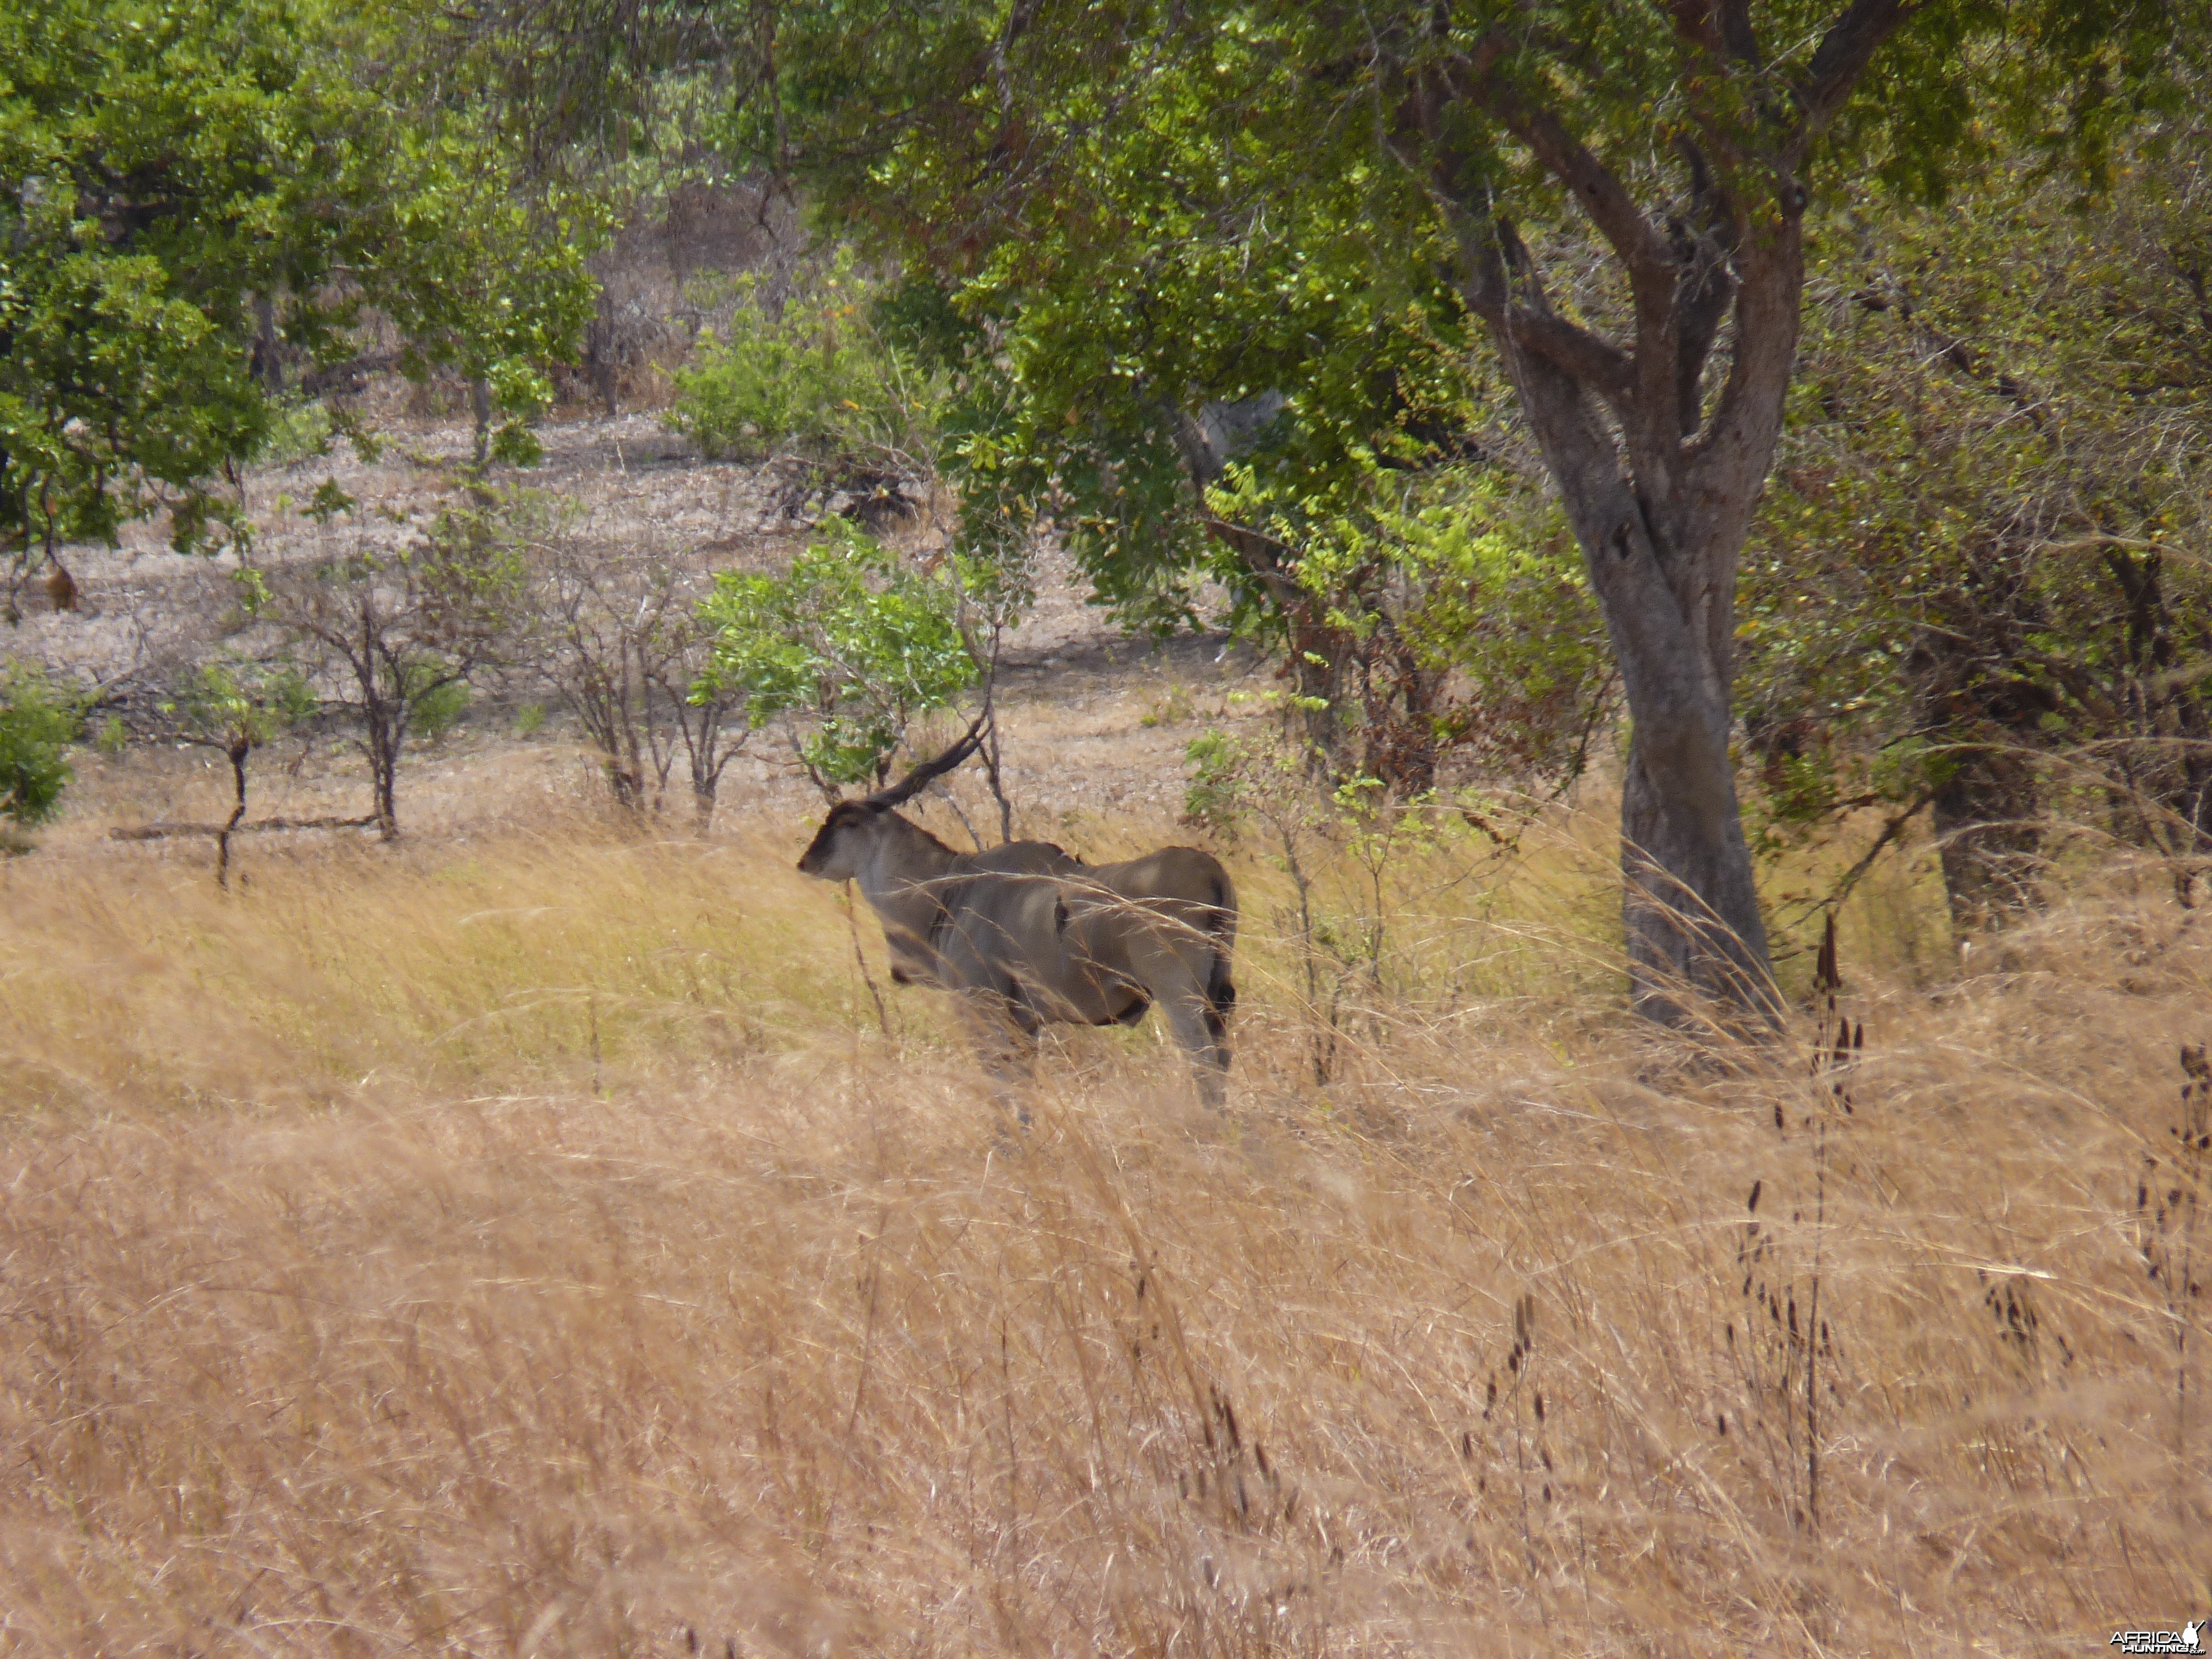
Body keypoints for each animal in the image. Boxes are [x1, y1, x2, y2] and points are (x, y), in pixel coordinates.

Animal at [801, 726, 1248, 1106]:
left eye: (844, 822)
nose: (806, 862)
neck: (950, 889)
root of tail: (1211, 871)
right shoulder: (1028, 1024)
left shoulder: (984, 1009)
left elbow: (1002, 1092)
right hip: (1216, 994)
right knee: (1222, 1058)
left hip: (1180, 997)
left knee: (1205, 1065)